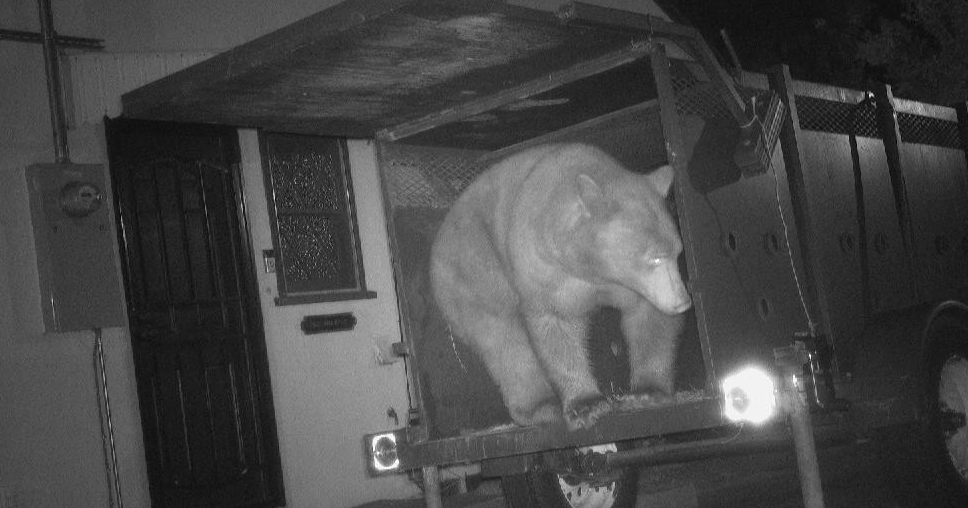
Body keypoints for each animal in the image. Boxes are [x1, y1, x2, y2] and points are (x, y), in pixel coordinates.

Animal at [430, 143, 692, 430]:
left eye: (677, 253)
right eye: (654, 257)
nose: (683, 301)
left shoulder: (635, 286)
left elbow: (650, 319)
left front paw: (646, 392)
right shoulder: (544, 269)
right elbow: (555, 326)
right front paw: (587, 405)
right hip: (475, 271)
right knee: (504, 342)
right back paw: (541, 407)